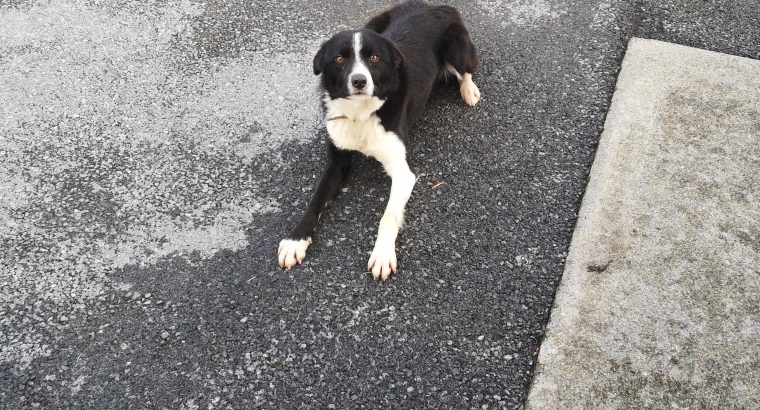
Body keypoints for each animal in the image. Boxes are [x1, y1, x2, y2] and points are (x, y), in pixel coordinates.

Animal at [280, 0, 480, 280]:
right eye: (340, 58)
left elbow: (389, 215)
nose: (359, 81)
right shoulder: (337, 161)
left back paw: (469, 90)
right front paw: (295, 240)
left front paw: (383, 254)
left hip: (457, 46)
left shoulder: (403, 172)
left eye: (374, 58)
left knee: (467, 70)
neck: (360, 113)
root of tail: (434, 5)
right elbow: (316, 199)